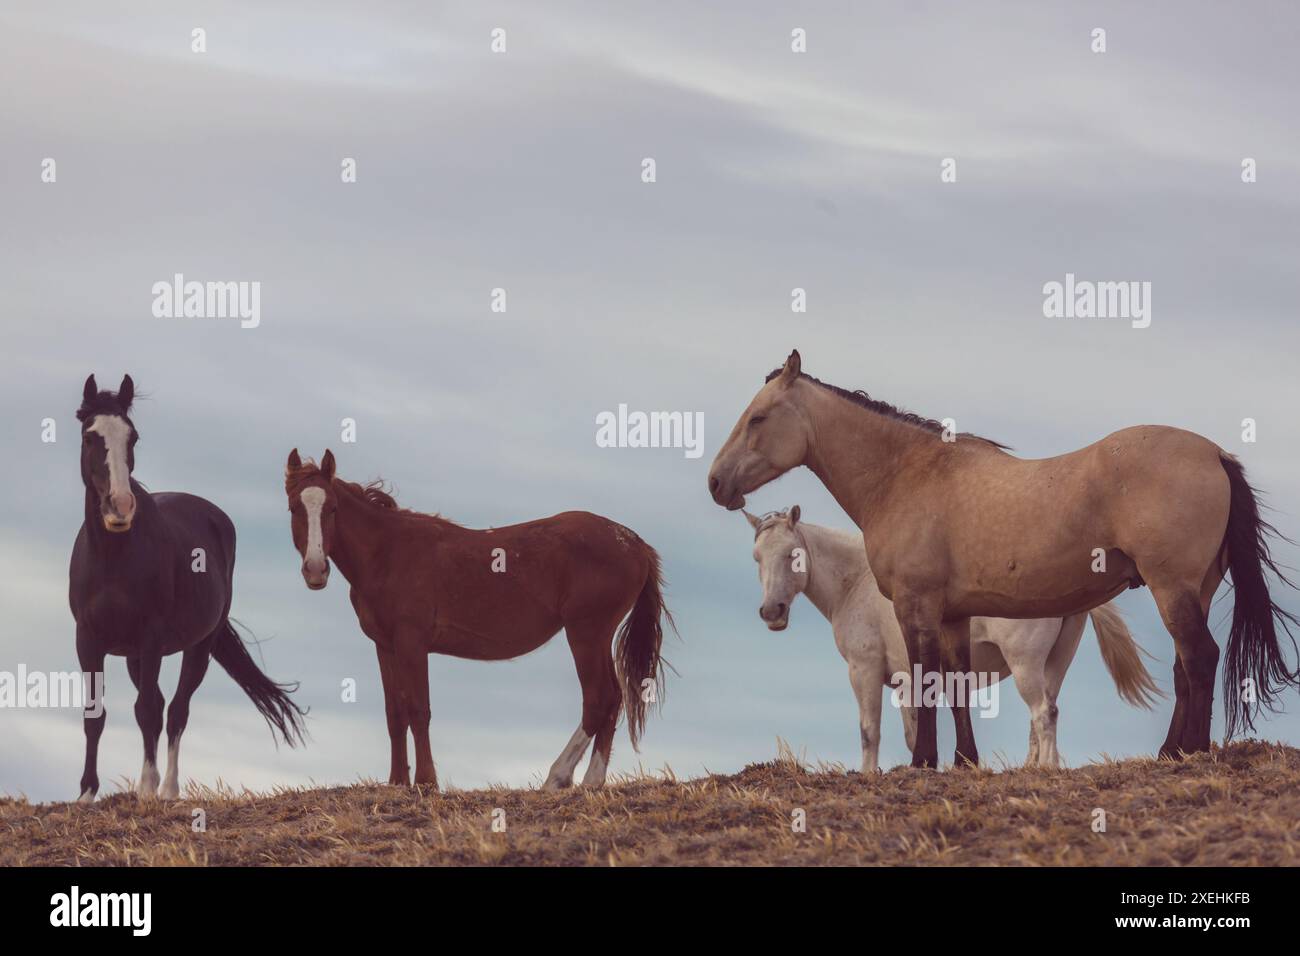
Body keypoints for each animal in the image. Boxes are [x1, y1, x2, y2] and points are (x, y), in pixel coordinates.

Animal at [69, 375, 306, 802]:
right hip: (135, 656)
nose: (120, 506)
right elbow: (96, 714)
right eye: (89, 436)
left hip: (198, 646)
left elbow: (147, 709)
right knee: (163, 706)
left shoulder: (150, 638)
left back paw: (167, 789)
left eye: (133, 437)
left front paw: (146, 789)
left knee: (176, 709)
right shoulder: (88, 639)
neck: (114, 556)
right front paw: (85, 794)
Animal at [281, 449, 675, 790]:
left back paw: (558, 778)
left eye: (332, 508)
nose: (315, 569)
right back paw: (591, 781)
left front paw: (426, 782)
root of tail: (634, 542)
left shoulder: (412, 642)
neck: (388, 553)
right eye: (294, 508)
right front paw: (397, 782)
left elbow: (418, 710)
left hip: (586, 633)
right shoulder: (385, 645)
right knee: (614, 699)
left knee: (599, 698)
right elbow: (395, 713)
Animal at [745, 506, 1159, 769]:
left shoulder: (864, 671)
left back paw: (1044, 768)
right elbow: (913, 731)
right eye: (757, 557)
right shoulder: (905, 682)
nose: (771, 611)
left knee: (1042, 713)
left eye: (792, 555)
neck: (856, 581)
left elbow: (869, 731)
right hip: (1054, 664)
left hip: (1025, 664)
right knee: (1046, 713)